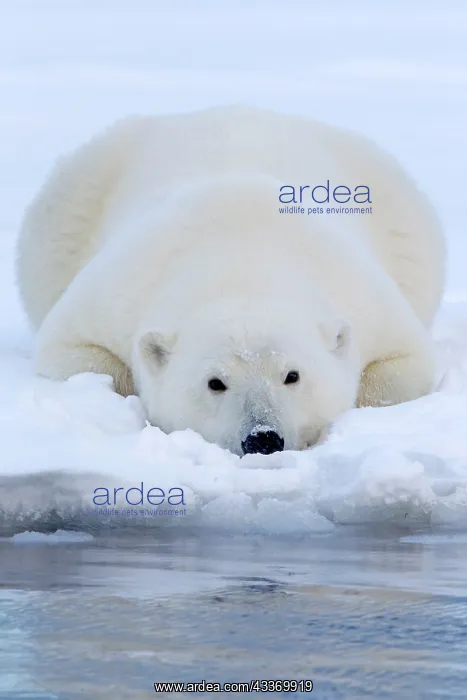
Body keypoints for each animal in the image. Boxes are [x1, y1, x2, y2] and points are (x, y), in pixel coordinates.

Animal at [16, 105, 445, 456]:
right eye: (215, 382)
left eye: (292, 375)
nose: (263, 439)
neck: (239, 262)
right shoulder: (119, 291)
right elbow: (73, 352)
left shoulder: (362, 297)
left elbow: (402, 364)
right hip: (72, 203)